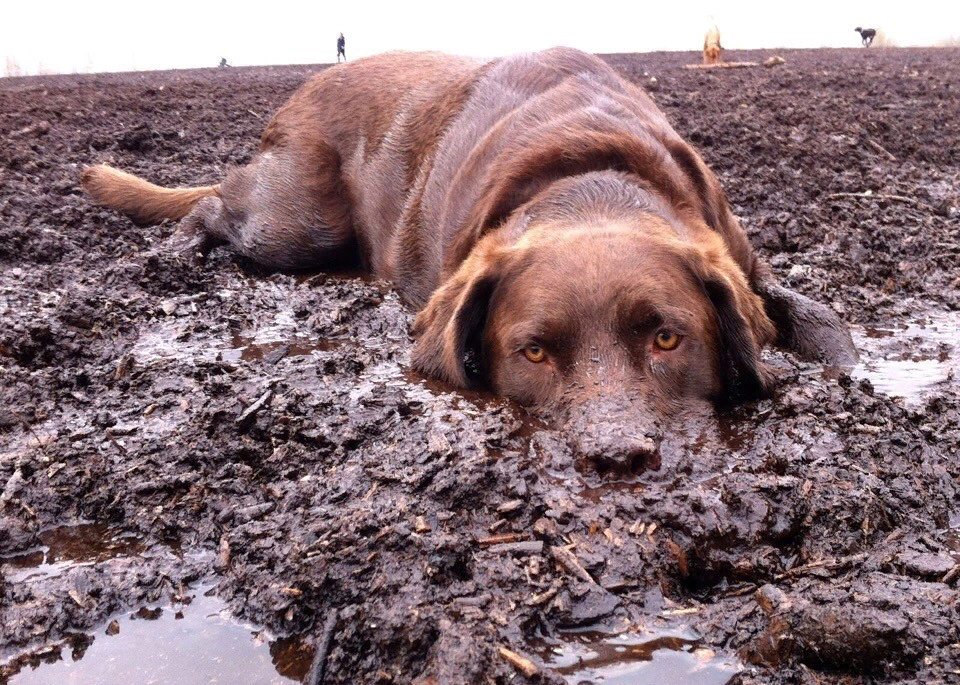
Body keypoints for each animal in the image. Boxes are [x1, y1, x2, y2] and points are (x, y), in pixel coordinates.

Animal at [84, 46, 856, 464]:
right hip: (294, 222)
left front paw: (838, 364)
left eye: (669, 338)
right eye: (533, 352)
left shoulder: (739, 256)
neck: (590, 179)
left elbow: (819, 318)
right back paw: (176, 249)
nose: (616, 456)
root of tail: (302, 87)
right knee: (215, 203)